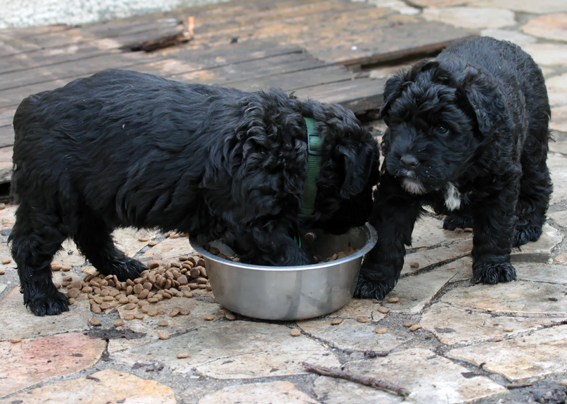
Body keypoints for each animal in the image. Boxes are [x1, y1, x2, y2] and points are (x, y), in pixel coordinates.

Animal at [8, 70, 380, 316]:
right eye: (369, 182)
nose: (366, 215)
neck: (302, 143)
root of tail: (29, 107)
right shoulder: (252, 222)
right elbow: (288, 255)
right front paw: (303, 269)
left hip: (92, 196)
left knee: (92, 235)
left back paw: (122, 265)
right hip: (52, 198)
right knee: (28, 246)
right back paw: (44, 299)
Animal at [358, 35, 552, 300]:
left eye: (443, 128)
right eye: (400, 120)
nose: (407, 161)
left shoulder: (500, 183)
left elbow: (495, 227)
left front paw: (493, 266)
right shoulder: (395, 191)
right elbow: (387, 237)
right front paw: (374, 279)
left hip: (533, 143)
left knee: (538, 184)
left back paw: (526, 225)